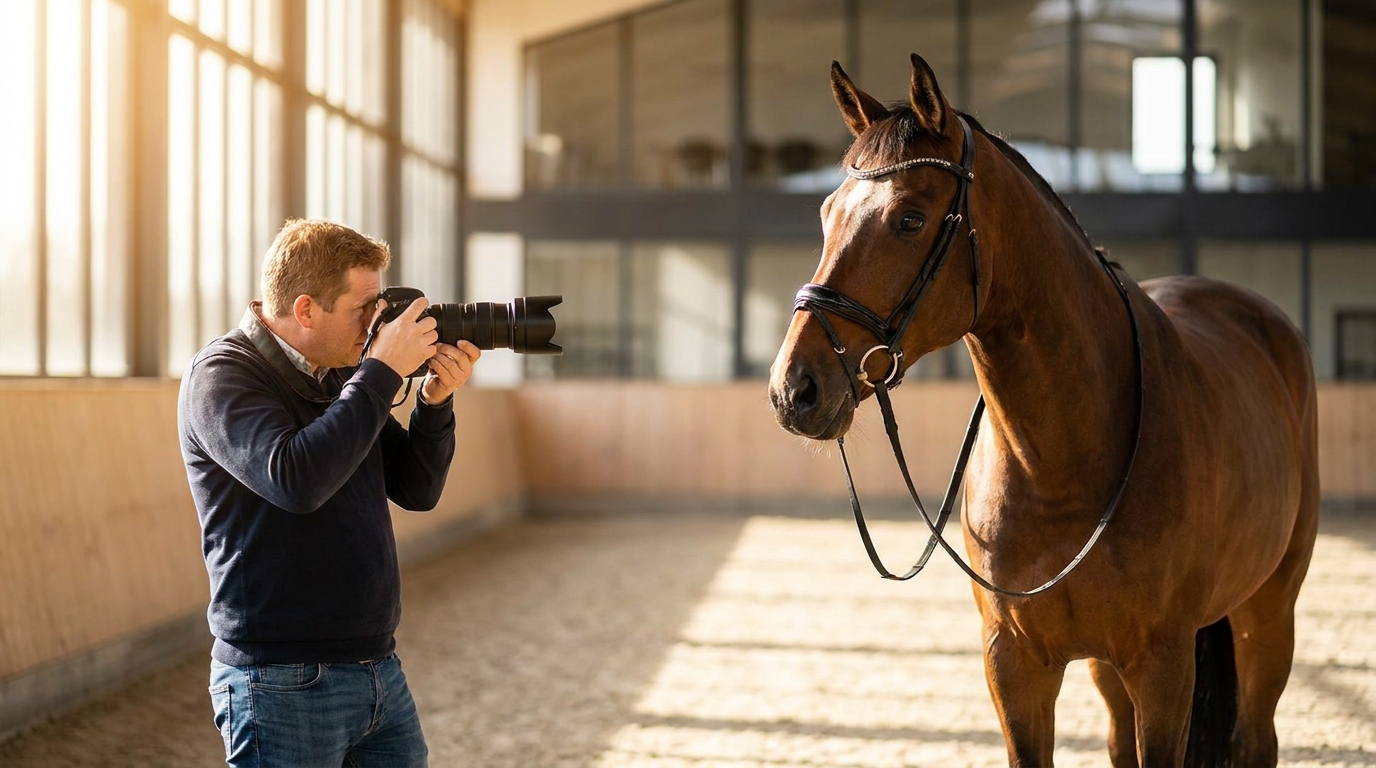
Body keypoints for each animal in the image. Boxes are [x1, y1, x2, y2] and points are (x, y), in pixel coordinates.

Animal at [768, 54, 1319, 768]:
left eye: (910, 219)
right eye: (827, 212)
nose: (794, 388)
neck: (1063, 465)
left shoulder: (1165, 663)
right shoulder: (1015, 663)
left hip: (1267, 611)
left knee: (1257, 733)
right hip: (1110, 668)